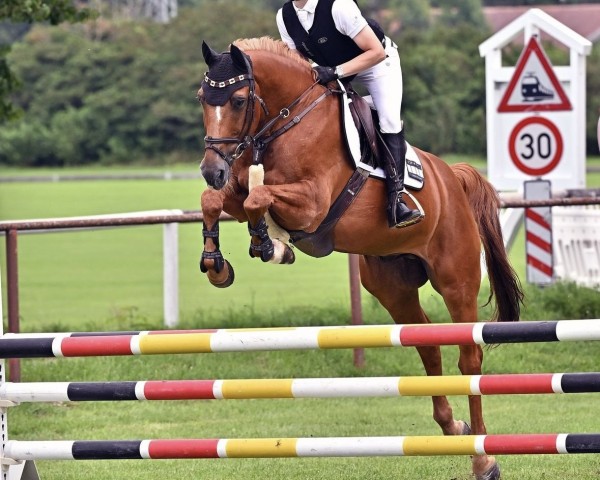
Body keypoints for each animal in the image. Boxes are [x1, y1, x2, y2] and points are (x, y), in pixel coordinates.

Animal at [197, 35, 520, 478]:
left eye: (239, 100)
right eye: (202, 98)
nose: (211, 169)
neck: (284, 122)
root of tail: (452, 178)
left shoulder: (312, 203)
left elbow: (258, 198)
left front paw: (269, 244)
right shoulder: (239, 186)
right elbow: (217, 200)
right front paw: (218, 265)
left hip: (457, 281)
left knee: (469, 358)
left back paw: (483, 458)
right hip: (392, 286)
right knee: (428, 346)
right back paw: (453, 427)